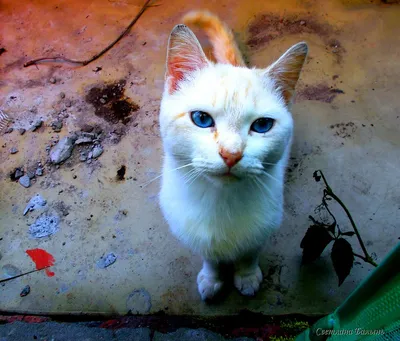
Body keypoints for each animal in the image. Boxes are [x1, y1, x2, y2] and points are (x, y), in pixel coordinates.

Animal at [158, 10, 308, 298]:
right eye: (202, 119)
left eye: (262, 125)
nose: (231, 154)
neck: (221, 203)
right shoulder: (196, 232)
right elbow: (210, 256)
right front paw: (212, 278)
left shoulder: (263, 226)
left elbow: (249, 253)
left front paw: (247, 277)